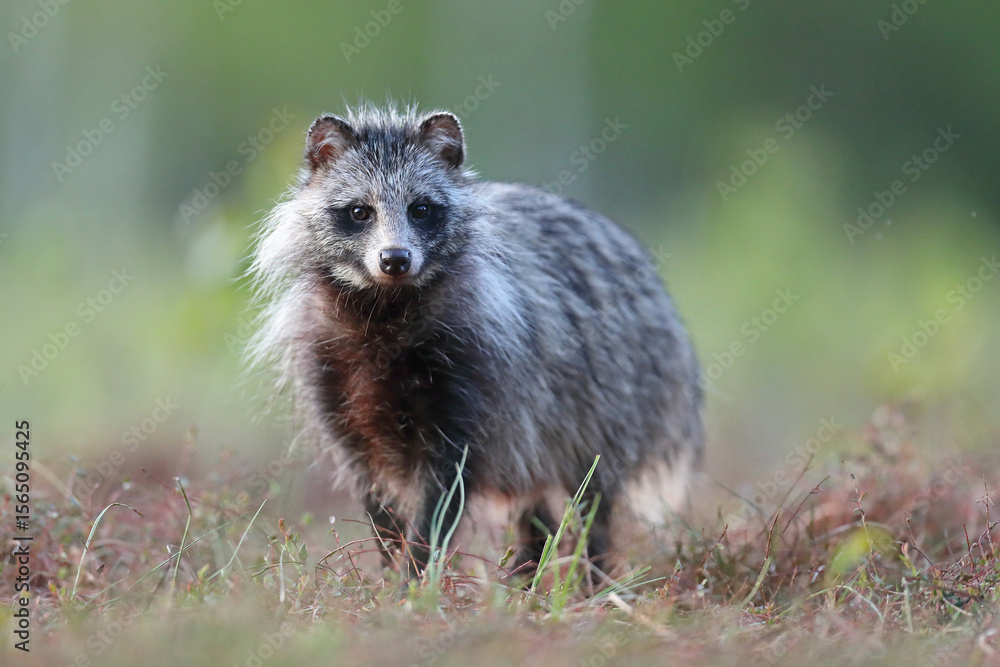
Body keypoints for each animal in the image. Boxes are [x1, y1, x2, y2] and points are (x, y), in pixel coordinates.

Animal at [248, 104, 703, 579]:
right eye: (359, 211)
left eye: (421, 209)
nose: (395, 259)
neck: (386, 309)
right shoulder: (335, 375)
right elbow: (375, 493)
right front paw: (390, 566)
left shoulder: (475, 369)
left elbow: (446, 489)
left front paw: (416, 574)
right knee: (536, 504)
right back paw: (528, 573)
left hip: (611, 401)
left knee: (591, 497)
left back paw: (589, 574)